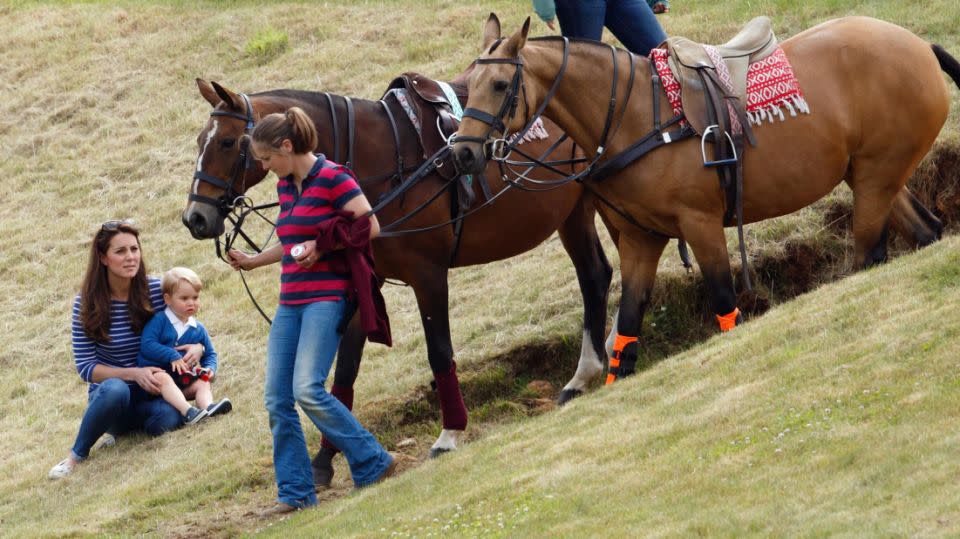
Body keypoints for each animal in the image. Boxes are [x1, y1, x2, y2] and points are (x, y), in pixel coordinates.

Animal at [182, 62, 616, 480]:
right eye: (199, 142)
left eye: (228, 142)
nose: (195, 218)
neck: (383, 160)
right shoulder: (364, 282)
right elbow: (345, 372)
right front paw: (326, 458)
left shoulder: (428, 275)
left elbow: (439, 353)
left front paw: (450, 432)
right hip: (577, 210)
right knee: (598, 273)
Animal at [452, 15, 960, 384]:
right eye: (465, 87)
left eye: (499, 85)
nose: (462, 152)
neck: (636, 116)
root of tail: (918, 45)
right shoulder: (640, 240)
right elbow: (628, 330)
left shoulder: (700, 223)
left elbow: (723, 301)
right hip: (872, 177)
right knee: (922, 232)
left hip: (876, 177)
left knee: (870, 254)